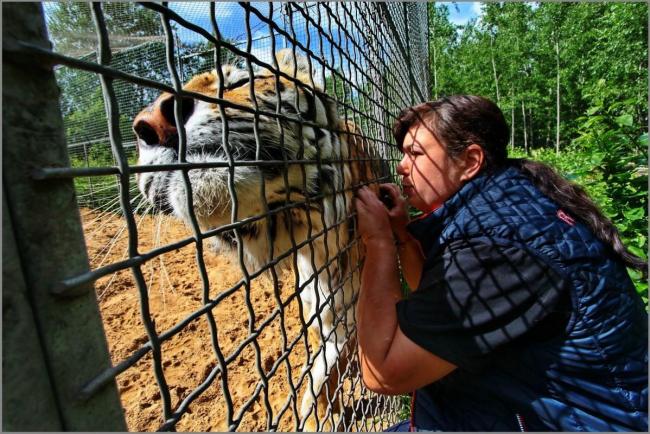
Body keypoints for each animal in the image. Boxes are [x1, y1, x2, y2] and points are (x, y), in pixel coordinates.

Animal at [132, 49, 384, 428]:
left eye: (240, 81)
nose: (150, 123)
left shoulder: (349, 310)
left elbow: (328, 370)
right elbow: (320, 374)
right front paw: (320, 415)